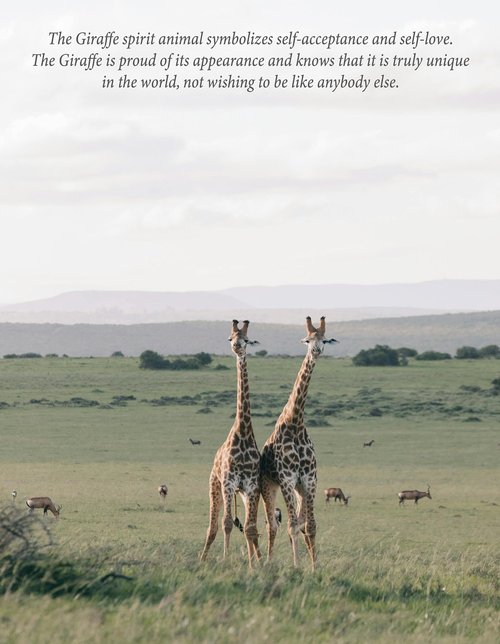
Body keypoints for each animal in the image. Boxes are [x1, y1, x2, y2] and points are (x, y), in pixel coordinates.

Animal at [260, 316, 337, 570]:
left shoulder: (309, 480)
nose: (316, 351)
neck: (295, 422)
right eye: (307, 340)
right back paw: (269, 560)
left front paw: (314, 567)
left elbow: (310, 526)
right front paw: (296, 566)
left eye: (324, 340)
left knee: (299, 521)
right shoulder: (286, 479)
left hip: (299, 489)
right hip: (269, 486)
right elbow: (292, 526)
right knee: (272, 524)